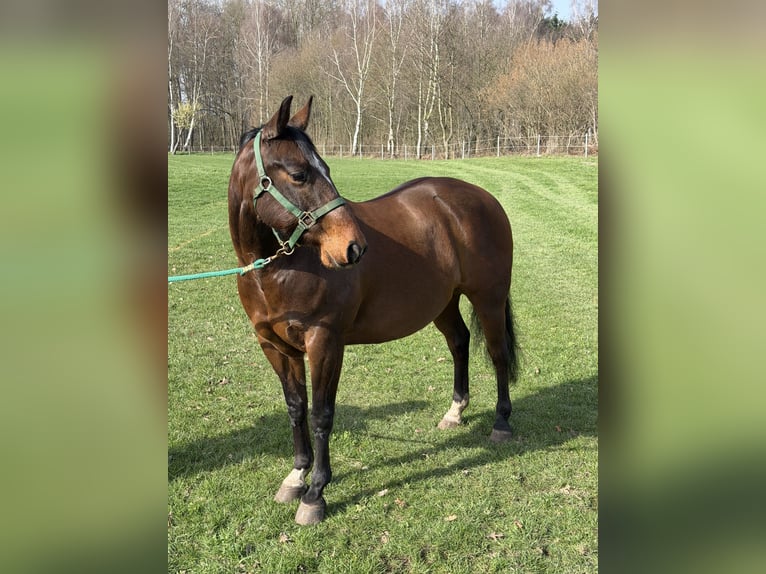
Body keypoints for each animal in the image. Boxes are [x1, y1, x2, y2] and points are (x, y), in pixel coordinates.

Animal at [228, 96, 519, 525]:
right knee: (460, 342)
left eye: (326, 169)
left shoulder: (325, 343)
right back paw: (455, 412)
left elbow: (322, 414)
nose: (354, 248)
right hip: (443, 302)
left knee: (497, 355)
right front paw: (296, 476)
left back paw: (501, 422)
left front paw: (315, 493)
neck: (278, 269)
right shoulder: (275, 346)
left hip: (489, 298)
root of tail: (484, 198)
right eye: (299, 174)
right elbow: (296, 409)